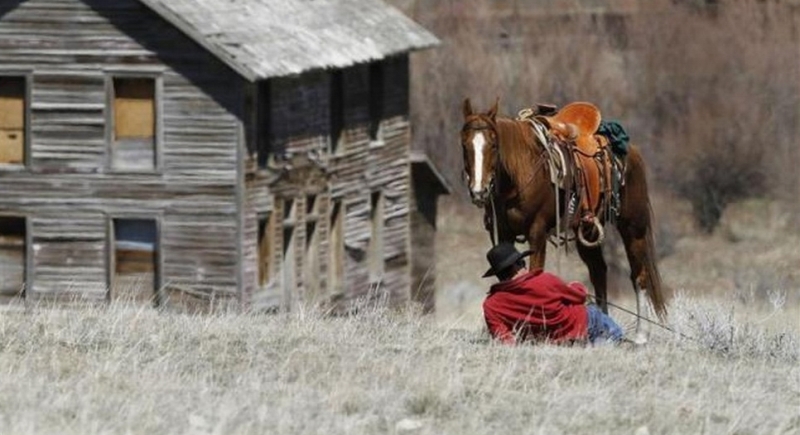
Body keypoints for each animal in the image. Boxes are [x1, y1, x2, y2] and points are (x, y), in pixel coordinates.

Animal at [460, 99, 664, 328]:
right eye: (464, 145)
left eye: (494, 145)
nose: (479, 191)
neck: (520, 173)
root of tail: (632, 151)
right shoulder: (502, 234)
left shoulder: (537, 231)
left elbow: (534, 274)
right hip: (589, 229)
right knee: (599, 271)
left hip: (633, 227)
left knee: (639, 276)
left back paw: (641, 333)